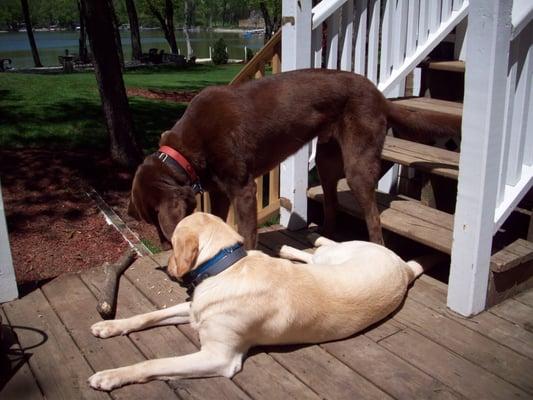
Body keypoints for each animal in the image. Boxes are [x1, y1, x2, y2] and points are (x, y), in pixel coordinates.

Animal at [127, 70, 460, 248]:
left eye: (154, 219)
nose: (164, 245)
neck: (184, 152)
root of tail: (380, 95)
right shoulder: (220, 192)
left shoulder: (242, 189)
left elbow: (247, 232)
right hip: (327, 160)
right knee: (331, 201)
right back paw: (325, 237)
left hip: (357, 162)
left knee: (373, 216)